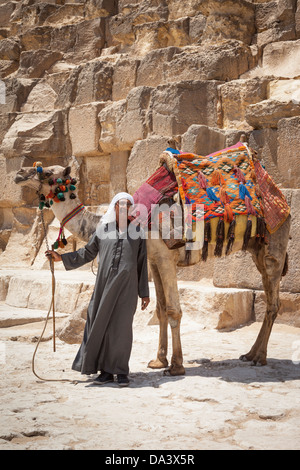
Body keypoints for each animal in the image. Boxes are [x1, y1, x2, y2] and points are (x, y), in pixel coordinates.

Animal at [14, 152, 290, 376]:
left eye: (46, 172)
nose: (18, 174)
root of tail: (279, 196)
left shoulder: (166, 257)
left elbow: (174, 310)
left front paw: (176, 366)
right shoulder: (154, 260)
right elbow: (160, 309)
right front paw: (159, 361)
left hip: (274, 246)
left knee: (273, 303)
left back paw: (258, 357)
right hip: (258, 249)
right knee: (270, 298)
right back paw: (250, 354)